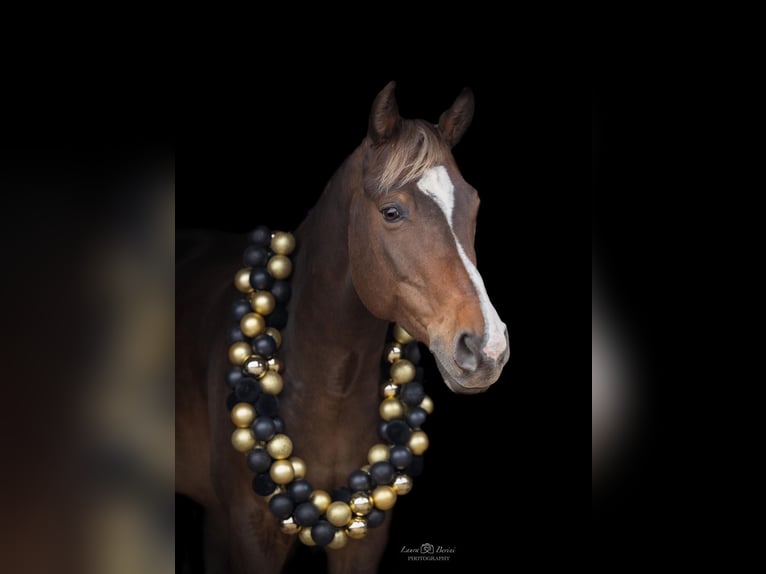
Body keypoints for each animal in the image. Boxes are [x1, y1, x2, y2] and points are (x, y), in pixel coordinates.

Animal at [175, 82, 510, 574]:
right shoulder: (248, 536)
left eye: (474, 205)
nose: (487, 347)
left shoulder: (363, 545)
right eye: (391, 212)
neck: (329, 390)